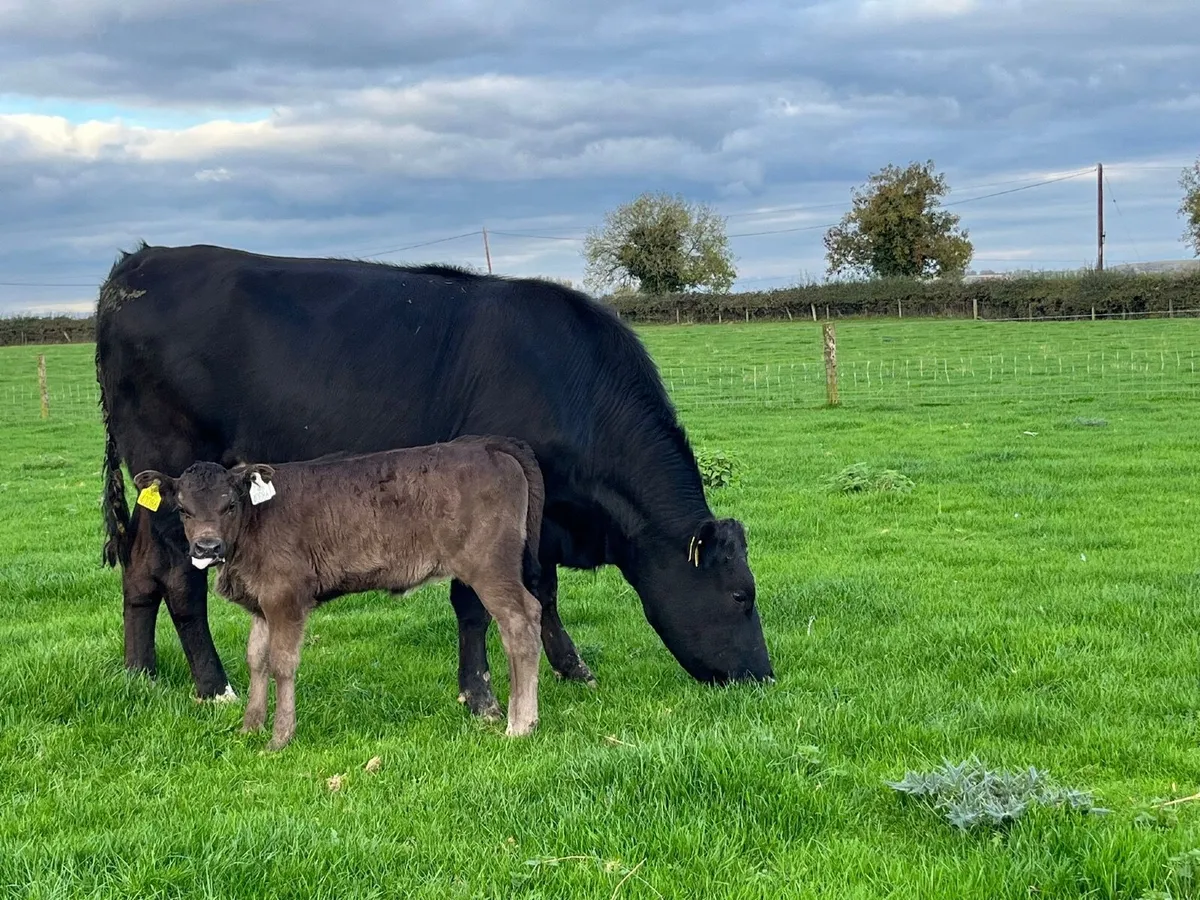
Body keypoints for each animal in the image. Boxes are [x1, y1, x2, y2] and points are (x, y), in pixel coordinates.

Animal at [95, 243, 773, 716]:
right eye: (742, 596)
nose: (763, 676)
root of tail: (137, 264)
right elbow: (474, 603)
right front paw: (480, 696)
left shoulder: (540, 516)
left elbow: (542, 589)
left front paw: (570, 667)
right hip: (183, 486)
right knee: (181, 581)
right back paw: (215, 688)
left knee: (140, 571)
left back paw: (139, 674)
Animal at [132, 435, 547, 749]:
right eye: (183, 510)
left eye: (230, 505)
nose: (207, 548)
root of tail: (486, 444)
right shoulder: (261, 605)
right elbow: (256, 660)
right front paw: (249, 727)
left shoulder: (286, 597)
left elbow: (282, 663)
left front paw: (279, 738)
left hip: (490, 566)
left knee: (521, 622)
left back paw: (520, 724)